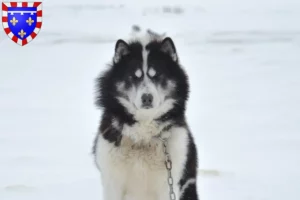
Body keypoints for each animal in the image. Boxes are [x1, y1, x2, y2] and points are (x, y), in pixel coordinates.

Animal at [92, 30, 198, 200]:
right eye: (134, 76)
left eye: (157, 75)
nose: (147, 98)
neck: (143, 138)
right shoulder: (112, 183)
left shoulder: (168, 183)